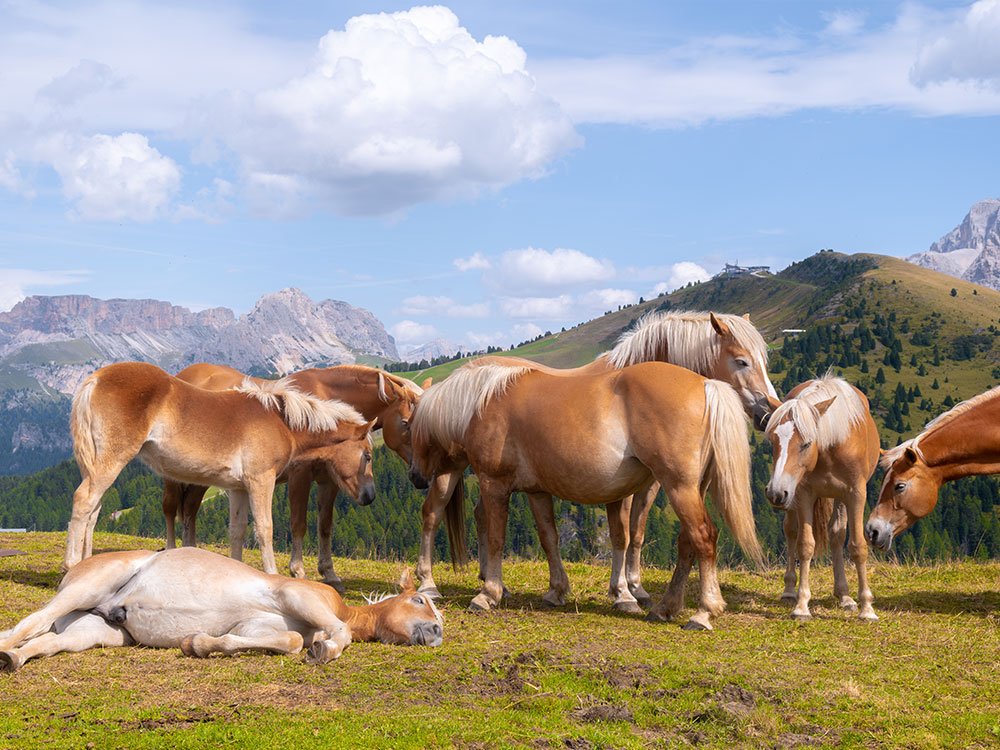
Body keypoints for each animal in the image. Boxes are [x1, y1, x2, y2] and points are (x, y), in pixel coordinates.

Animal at [0, 547, 443, 673]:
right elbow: (335, 635)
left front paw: (198, 644)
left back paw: (13, 659)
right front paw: (327, 650)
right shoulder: (294, 595)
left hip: (95, 631)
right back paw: (6, 648)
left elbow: (290, 640)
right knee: (32, 621)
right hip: (87, 587)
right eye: (419, 600)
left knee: (46, 644)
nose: (436, 633)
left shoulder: (253, 627)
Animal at [64, 362, 376, 576]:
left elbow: (237, 530)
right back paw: (71, 565)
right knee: (83, 501)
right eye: (368, 456)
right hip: (112, 461)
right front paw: (273, 574)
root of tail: (95, 378)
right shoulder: (260, 481)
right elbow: (264, 528)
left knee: (93, 510)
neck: (279, 420)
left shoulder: (238, 488)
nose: (369, 496)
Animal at [161, 363, 424, 590]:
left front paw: (329, 572)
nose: (420, 477)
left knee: (190, 509)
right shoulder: (300, 476)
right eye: (405, 423)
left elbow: (324, 525)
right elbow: (298, 523)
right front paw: (298, 570)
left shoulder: (328, 481)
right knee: (171, 509)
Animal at [413, 310, 779, 613]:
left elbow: (629, 535)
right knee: (432, 516)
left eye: (760, 359)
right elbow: (560, 536)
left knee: (699, 535)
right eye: (743, 361)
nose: (769, 411)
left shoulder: (503, 483)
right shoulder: (542, 488)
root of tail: (705, 385)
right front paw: (596, 590)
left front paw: (629, 590)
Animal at [764, 375, 880, 621]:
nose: (775, 492)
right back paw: (789, 590)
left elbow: (858, 546)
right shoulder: (803, 494)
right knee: (791, 530)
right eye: (773, 442)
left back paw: (844, 595)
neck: (831, 445)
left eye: (806, 443)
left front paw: (866, 608)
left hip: (836, 498)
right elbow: (805, 544)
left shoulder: (855, 494)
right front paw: (801, 605)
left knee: (836, 534)